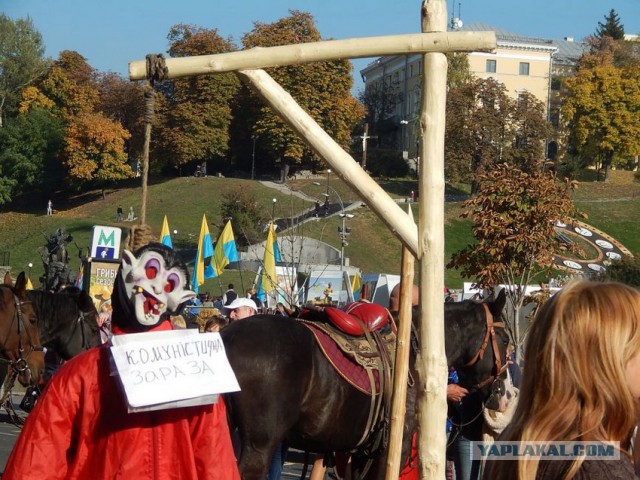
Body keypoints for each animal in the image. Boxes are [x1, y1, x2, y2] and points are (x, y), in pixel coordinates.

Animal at [222, 288, 508, 480]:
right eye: (506, 339)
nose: (502, 392)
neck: (412, 348)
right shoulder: (394, 447)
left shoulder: (359, 451)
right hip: (259, 444)